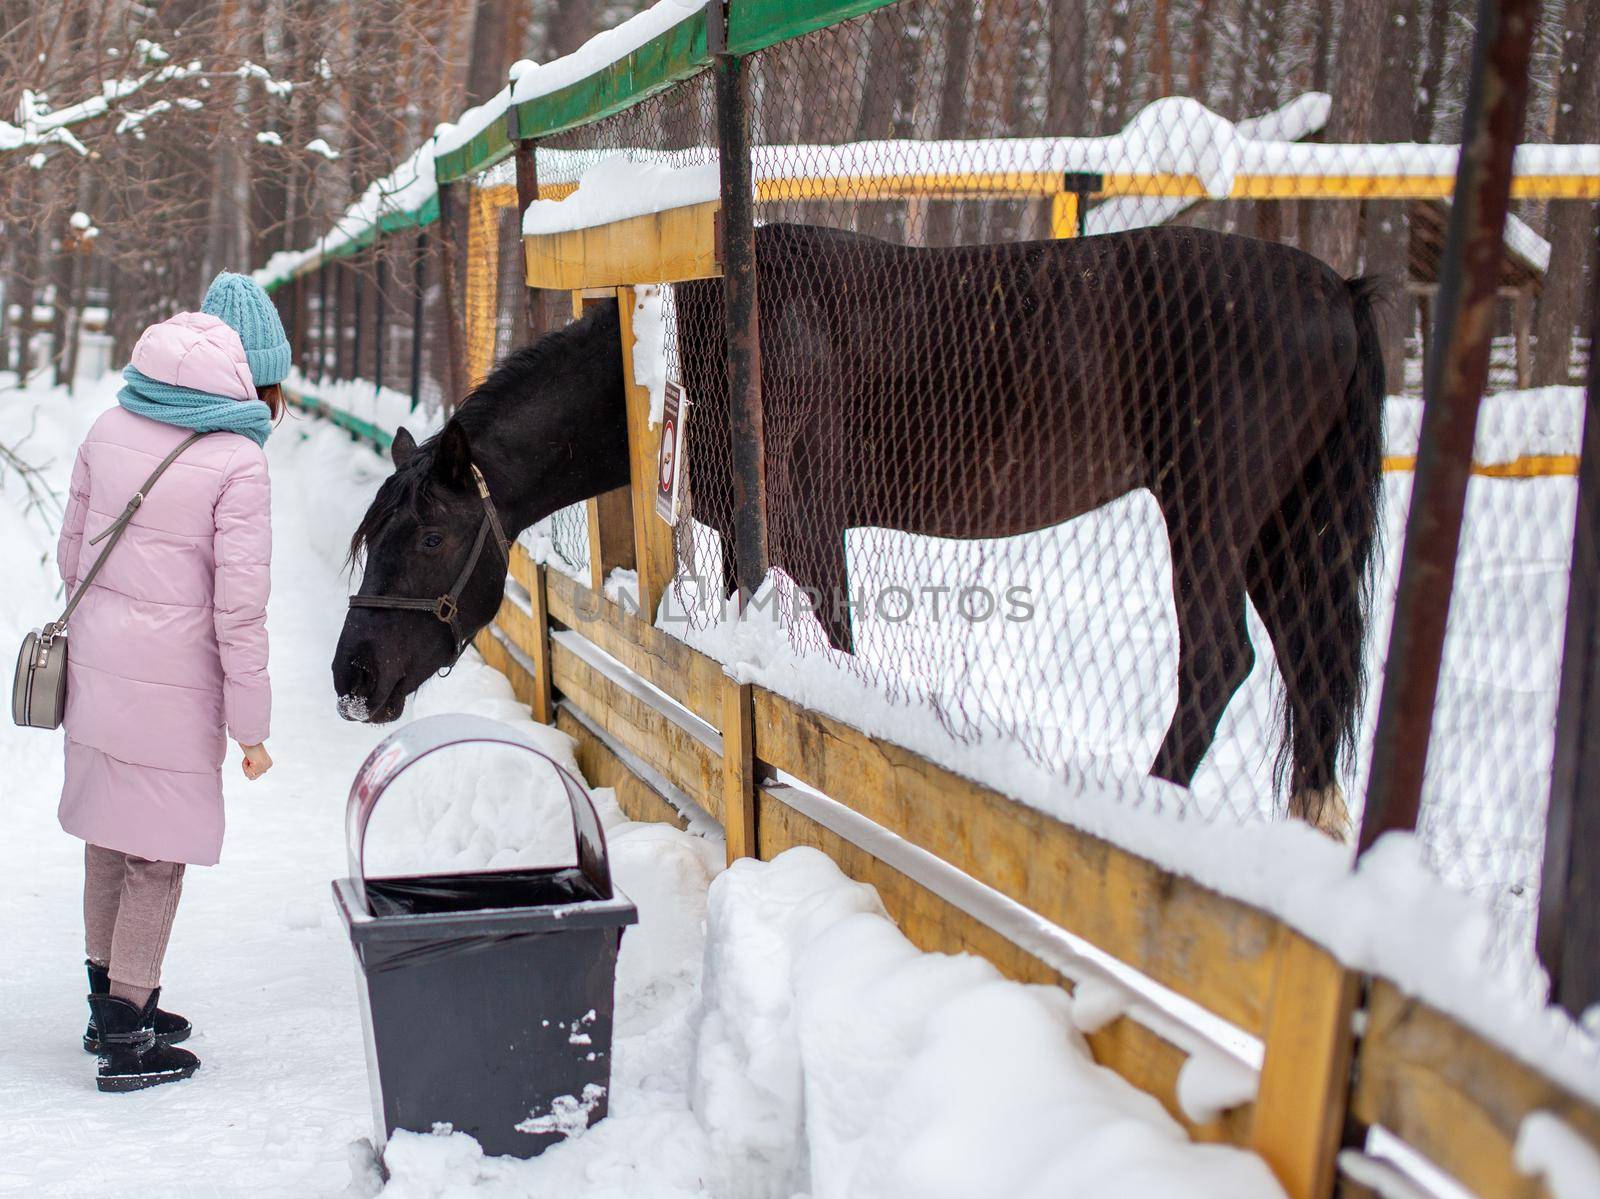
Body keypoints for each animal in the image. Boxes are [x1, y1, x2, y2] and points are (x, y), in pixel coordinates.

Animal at [331, 219, 1382, 832]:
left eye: (429, 537)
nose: (352, 677)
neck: (709, 342)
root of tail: (1337, 289)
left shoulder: (803, 534)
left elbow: (831, 659)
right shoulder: (747, 538)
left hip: (1208, 509)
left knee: (1218, 662)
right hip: (1287, 527)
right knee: (1305, 669)